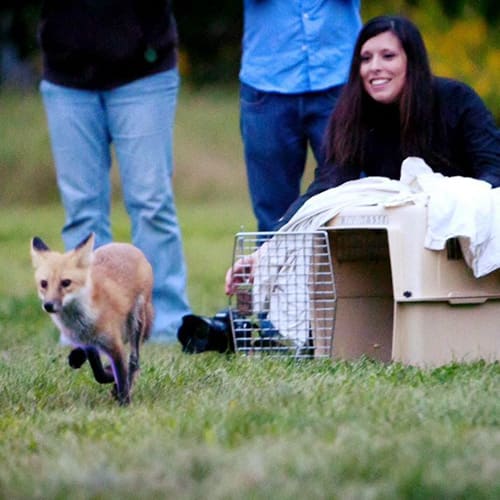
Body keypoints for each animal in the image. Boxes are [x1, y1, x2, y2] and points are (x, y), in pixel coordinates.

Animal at [30, 234, 153, 406]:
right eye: (44, 283)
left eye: (66, 283)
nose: (48, 305)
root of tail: (127, 246)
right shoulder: (88, 342)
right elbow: (98, 372)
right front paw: (110, 375)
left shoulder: (115, 345)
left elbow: (122, 376)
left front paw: (124, 403)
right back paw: (77, 357)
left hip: (137, 321)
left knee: (134, 360)